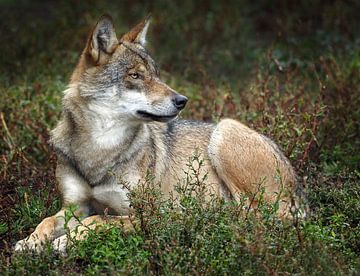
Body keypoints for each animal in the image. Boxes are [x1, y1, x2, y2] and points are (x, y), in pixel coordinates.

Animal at [14, 14, 300, 252]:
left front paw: (68, 239)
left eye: (157, 75)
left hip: (226, 129)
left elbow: (99, 220)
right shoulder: (74, 206)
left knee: (253, 216)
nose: (182, 100)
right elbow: (46, 221)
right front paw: (30, 242)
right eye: (136, 76)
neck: (99, 148)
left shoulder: (147, 214)